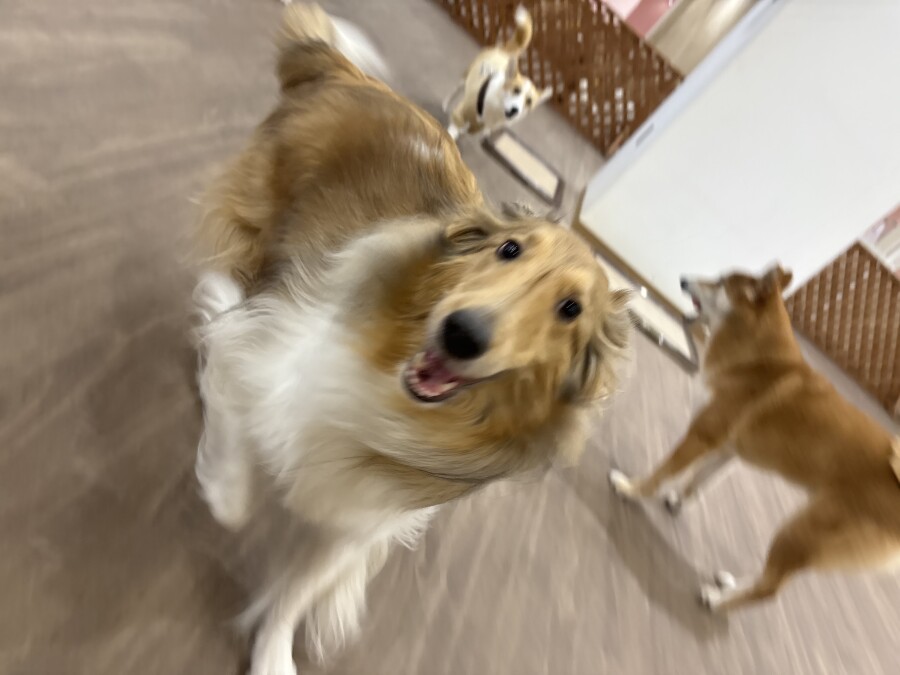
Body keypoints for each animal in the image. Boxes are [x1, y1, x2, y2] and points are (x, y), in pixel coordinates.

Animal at [443, 5, 553, 141]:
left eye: (529, 101)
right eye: (516, 90)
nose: (515, 110)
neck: (498, 109)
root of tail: (505, 53)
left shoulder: (481, 125)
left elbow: (473, 129)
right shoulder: (464, 110)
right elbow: (456, 126)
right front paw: (452, 134)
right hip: (464, 79)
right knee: (455, 90)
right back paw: (446, 103)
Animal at [609, 265, 900, 613]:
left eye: (720, 283)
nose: (682, 279)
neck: (758, 363)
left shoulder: (702, 435)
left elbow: (662, 473)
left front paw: (632, 489)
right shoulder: (726, 449)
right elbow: (698, 480)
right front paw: (676, 499)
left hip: (800, 531)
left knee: (769, 590)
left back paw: (717, 600)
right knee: (767, 577)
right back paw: (728, 584)